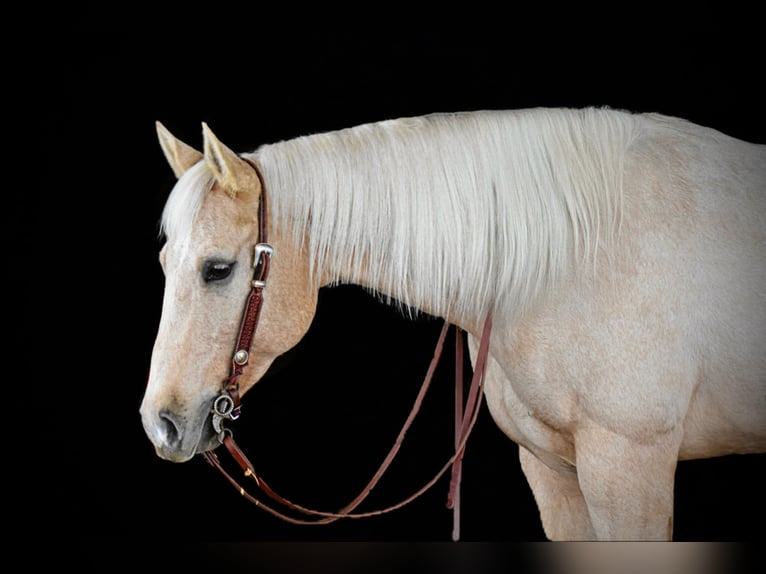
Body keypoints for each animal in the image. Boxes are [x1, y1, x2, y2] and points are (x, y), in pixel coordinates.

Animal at [140, 109, 766, 544]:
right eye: (165, 263)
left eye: (218, 269)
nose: (159, 425)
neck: (574, 258)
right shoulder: (553, 470)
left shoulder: (630, 464)